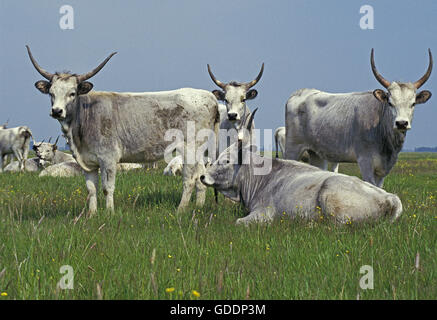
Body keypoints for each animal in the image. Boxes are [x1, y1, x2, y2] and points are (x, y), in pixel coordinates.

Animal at [26, 45, 218, 215]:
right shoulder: (88, 162)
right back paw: (198, 207)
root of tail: (210, 97)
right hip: (199, 151)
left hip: (189, 149)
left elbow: (107, 188)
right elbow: (91, 189)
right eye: (51, 93)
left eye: (72, 93)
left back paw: (180, 210)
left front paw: (109, 213)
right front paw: (92, 214)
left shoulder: (108, 158)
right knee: (200, 178)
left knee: (189, 179)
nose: (57, 111)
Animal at [284, 48, 430, 186]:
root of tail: (300, 92)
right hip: (292, 148)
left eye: (413, 104)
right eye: (390, 103)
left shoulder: (383, 170)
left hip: (316, 153)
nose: (401, 123)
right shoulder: (365, 161)